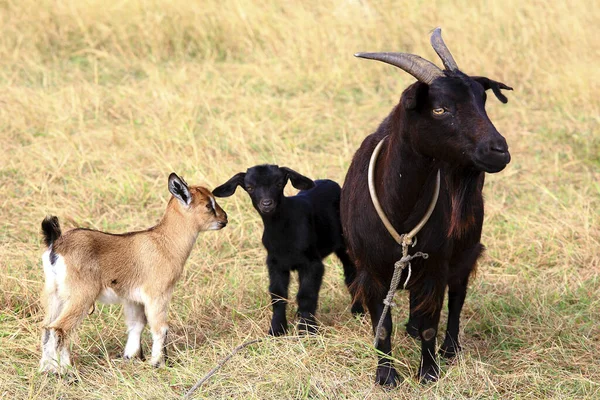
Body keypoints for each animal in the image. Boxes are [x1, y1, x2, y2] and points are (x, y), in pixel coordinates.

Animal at [213, 164, 364, 336]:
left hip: (346, 245)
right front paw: (277, 329)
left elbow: (306, 295)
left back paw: (358, 311)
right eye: (250, 187)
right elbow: (277, 294)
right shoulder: (275, 264)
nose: (267, 204)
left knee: (352, 275)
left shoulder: (312, 263)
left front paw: (307, 329)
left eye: (279, 184)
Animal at [340, 28, 512, 384]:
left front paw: (429, 372)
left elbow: (432, 325)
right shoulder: (372, 270)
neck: (400, 209)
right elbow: (382, 327)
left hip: (465, 248)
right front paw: (386, 376)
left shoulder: (435, 266)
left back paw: (450, 348)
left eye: (482, 101)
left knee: (457, 297)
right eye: (439, 110)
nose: (498, 150)